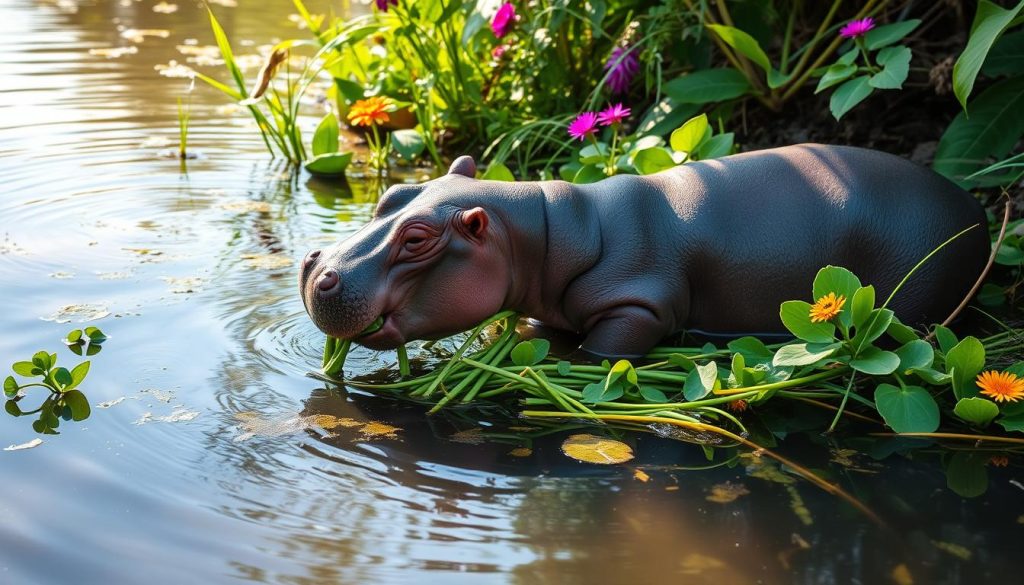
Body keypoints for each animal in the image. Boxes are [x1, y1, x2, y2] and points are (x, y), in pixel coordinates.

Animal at [299, 144, 989, 358]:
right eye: (392, 194)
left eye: (417, 238)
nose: (316, 267)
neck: (552, 227)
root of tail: (976, 209)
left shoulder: (640, 307)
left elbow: (604, 351)